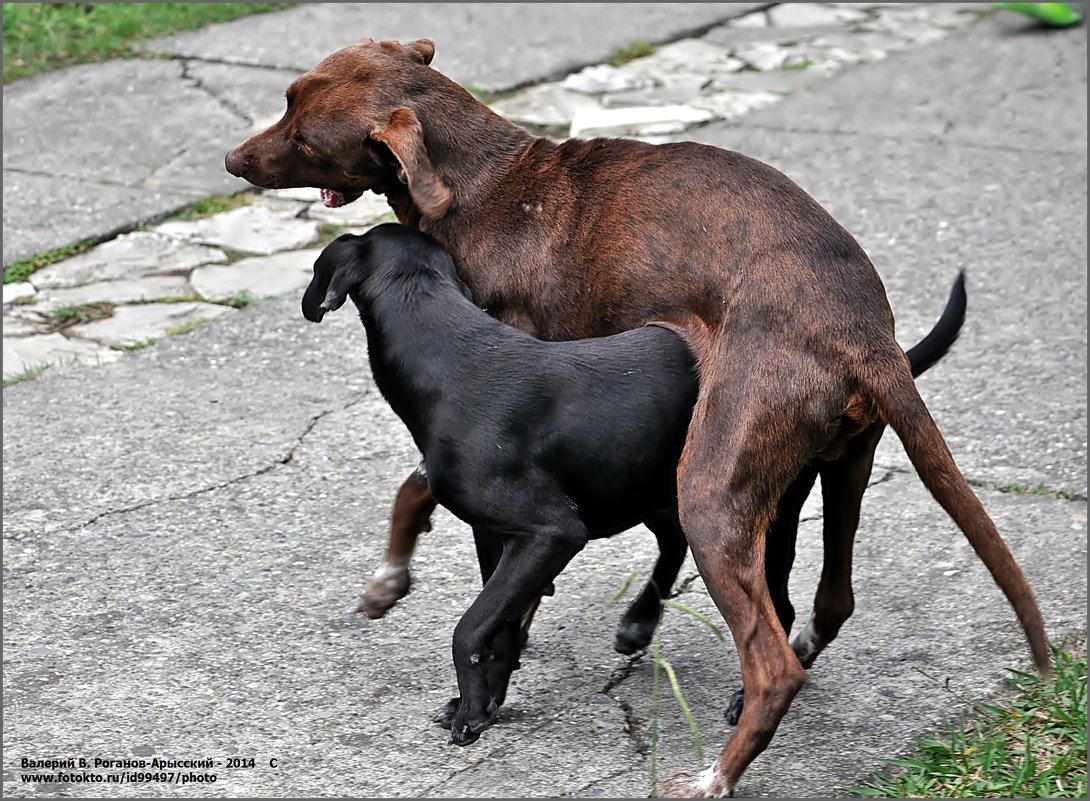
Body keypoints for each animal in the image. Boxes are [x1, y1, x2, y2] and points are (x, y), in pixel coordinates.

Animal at [298, 224, 963, 745]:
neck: (450, 356)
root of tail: (834, 367)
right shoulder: (498, 536)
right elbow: (499, 626)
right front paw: (480, 700)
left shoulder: (550, 533)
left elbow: (470, 627)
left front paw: (471, 715)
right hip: (651, 481)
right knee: (673, 544)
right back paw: (641, 620)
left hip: (749, 505)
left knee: (775, 600)